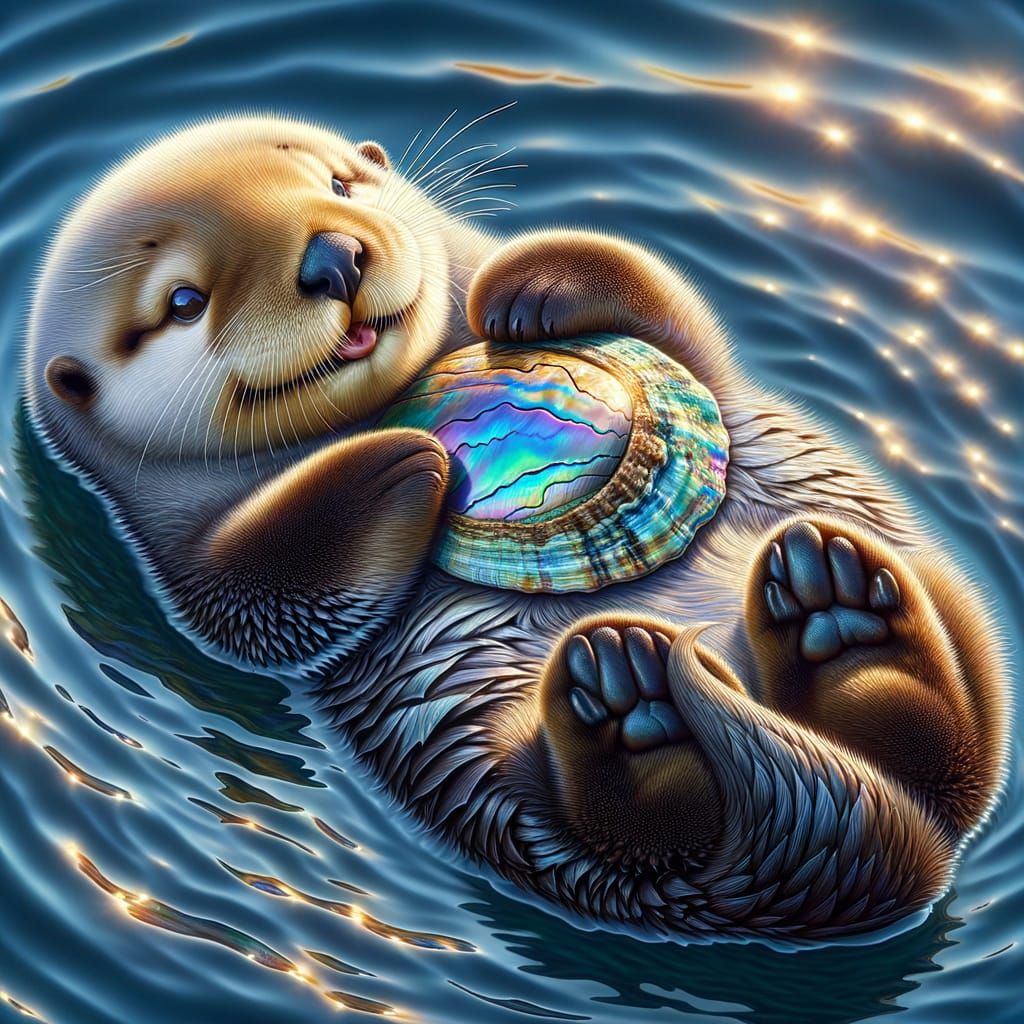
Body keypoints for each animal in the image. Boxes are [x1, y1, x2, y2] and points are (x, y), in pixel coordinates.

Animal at [25, 116, 1008, 943]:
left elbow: (676, 317)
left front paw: (529, 284)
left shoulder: (700, 366)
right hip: (501, 784)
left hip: (945, 595)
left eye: (341, 184)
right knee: (646, 831)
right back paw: (636, 698)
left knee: (949, 727)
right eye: (184, 302)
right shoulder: (180, 552)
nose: (334, 257)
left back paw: (835, 612)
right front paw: (397, 457)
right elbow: (267, 603)